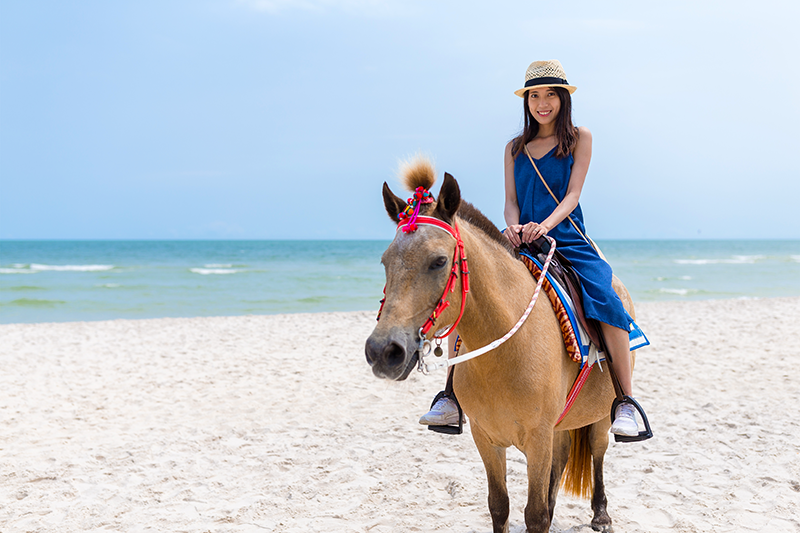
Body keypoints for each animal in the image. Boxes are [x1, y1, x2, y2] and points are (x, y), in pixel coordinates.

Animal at [364, 159, 636, 532]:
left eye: (439, 261)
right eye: (385, 262)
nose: (382, 351)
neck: (505, 355)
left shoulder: (538, 440)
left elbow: (534, 514)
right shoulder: (487, 438)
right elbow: (500, 506)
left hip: (598, 417)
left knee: (597, 452)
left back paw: (601, 513)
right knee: (563, 454)